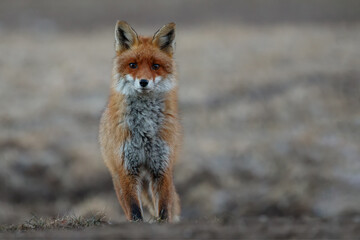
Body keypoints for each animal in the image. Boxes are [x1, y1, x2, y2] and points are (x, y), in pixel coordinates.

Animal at [99, 21, 180, 222]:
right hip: (117, 174)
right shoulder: (126, 168)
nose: (143, 82)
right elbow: (134, 209)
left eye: (155, 66)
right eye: (132, 65)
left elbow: (164, 208)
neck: (145, 129)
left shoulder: (162, 167)